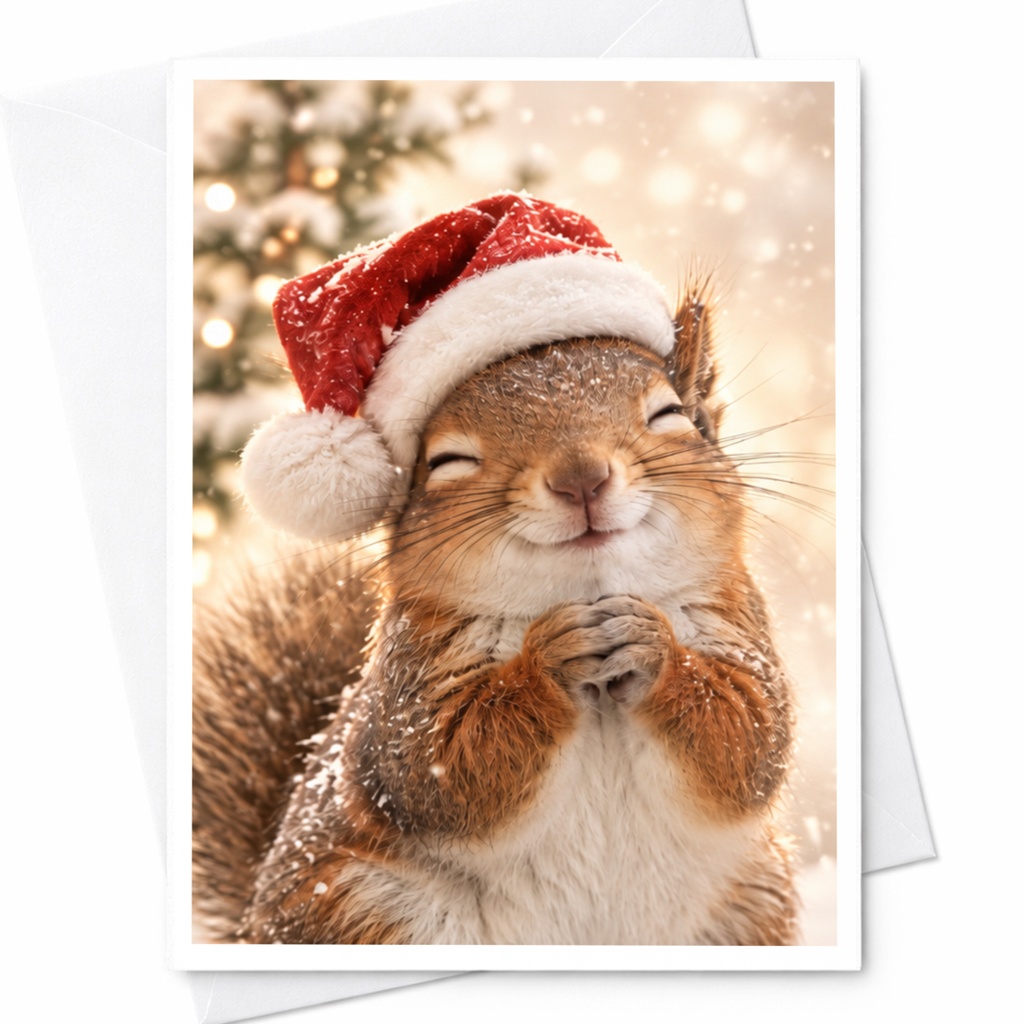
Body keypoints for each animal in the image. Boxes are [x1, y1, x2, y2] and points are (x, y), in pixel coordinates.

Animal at [192, 194, 798, 946]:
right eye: (447, 462)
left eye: (670, 415)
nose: (581, 477)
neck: (587, 590)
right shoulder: (410, 684)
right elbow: (446, 768)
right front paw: (550, 656)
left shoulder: (739, 627)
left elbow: (748, 737)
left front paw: (652, 645)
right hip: (364, 910)